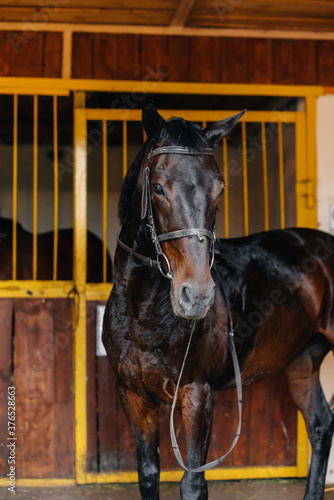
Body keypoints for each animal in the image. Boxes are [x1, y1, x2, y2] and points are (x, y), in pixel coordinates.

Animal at [102, 102, 334, 500]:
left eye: (219, 190)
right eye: (158, 187)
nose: (196, 295)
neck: (143, 313)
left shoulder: (197, 394)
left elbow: (193, 483)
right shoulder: (133, 395)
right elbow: (148, 474)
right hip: (302, 360)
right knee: (320, 425)